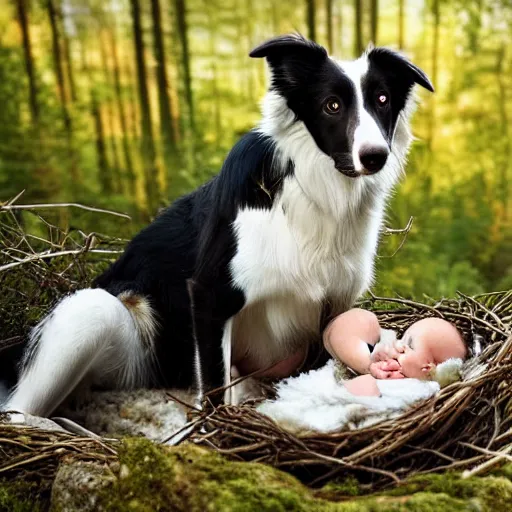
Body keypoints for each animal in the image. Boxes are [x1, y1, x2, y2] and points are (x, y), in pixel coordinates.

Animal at [4, 34, 432, 418]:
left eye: (382, 100)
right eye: (332, 105)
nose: (374, 156)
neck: (314, 191)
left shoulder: (334, 305)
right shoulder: (210, 296)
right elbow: (212, 391)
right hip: (94, 312)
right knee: (20, 412)